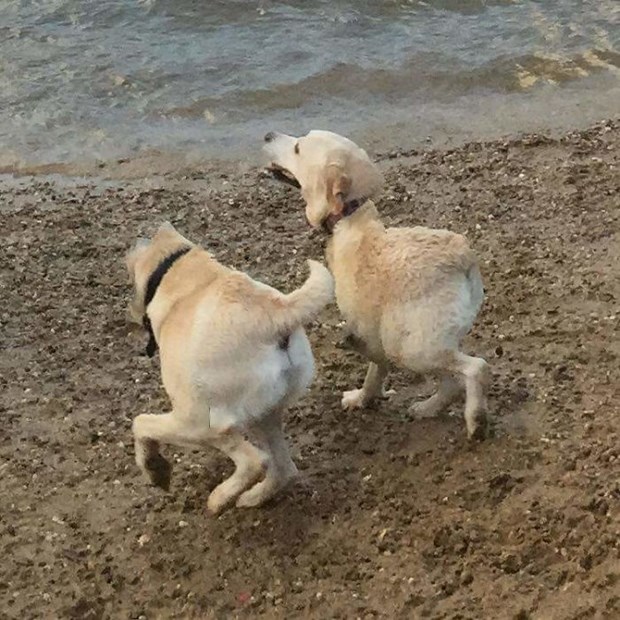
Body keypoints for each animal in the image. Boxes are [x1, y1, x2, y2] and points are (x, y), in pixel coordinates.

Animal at [124, 220, 334, 512]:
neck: (179, 270)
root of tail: (276, 313)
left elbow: (140, 424)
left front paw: (155, 469)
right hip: (263, 414)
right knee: (284, 469)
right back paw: (252, 497)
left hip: (204, 424)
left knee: (254, 461)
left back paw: (219, 498)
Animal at [262, 131, 490, 440]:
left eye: (298, 148)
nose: (268, 135)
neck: (348, 217)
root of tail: (463, 257)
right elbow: (376, 366)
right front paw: (364, 398)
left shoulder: (365, 325)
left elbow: (374, 365)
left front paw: (363, 395)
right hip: (418, 339)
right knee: (451, 380)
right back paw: (429, 408)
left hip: (409, 346)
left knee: (475, 367)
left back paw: (475, 419)